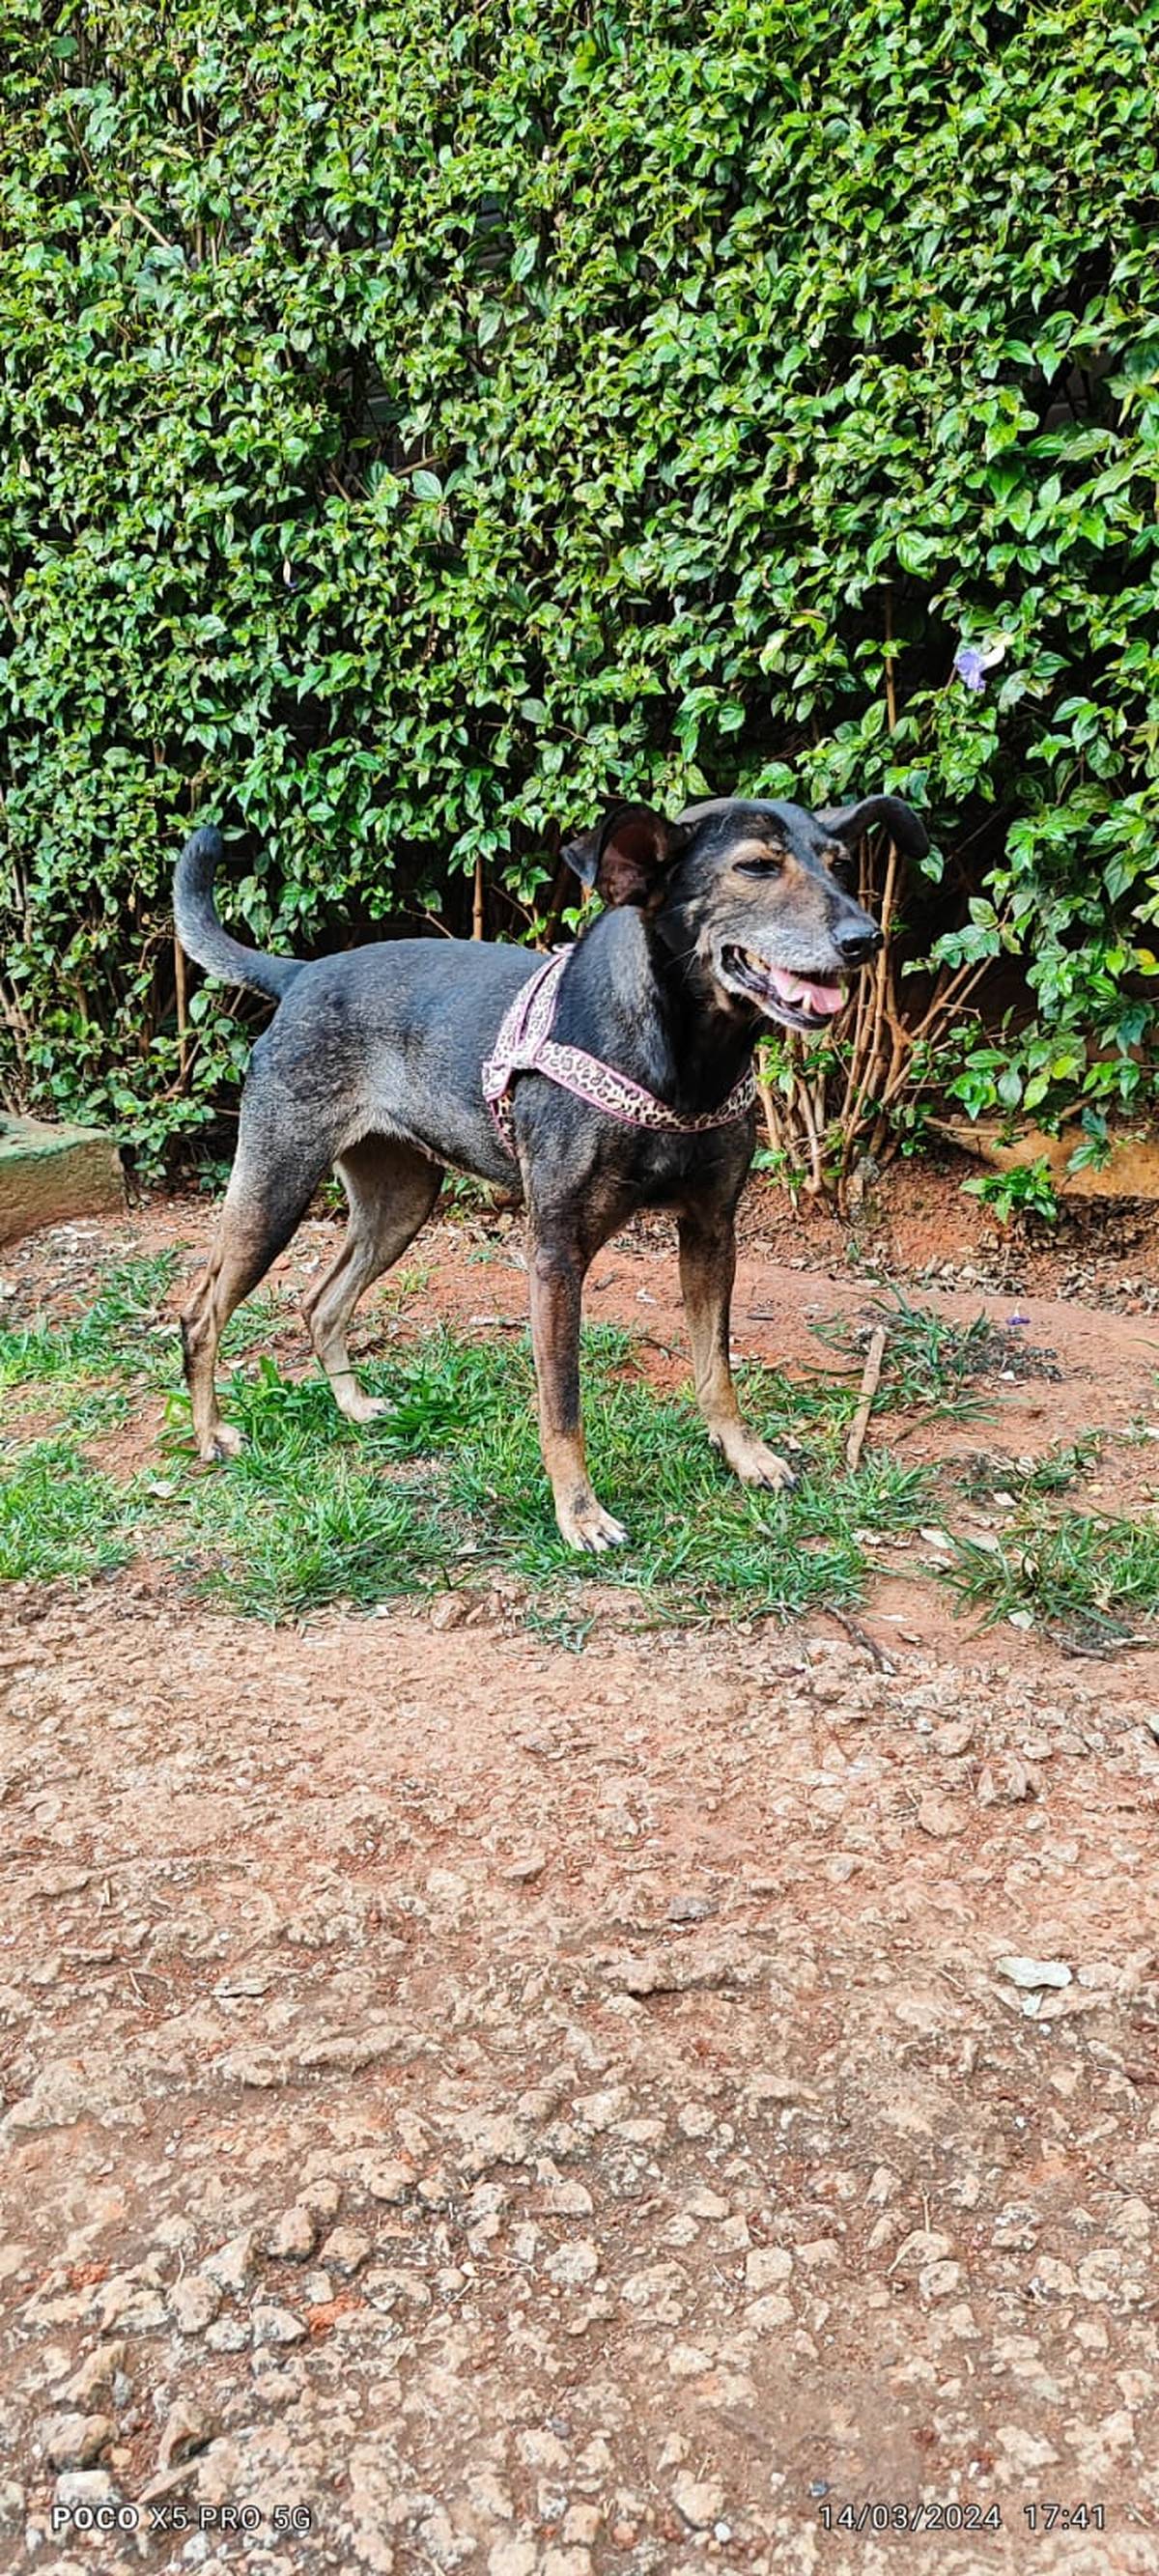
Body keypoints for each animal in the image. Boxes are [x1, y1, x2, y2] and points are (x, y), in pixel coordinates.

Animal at [174, 792, 927, 1549]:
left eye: (841, 865)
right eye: (756, 867)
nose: (865, 939)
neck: (683, 1056)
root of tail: (300, 974)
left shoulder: (713, 1229)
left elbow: (716, 1365)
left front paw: (744, 1454)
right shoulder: (557, 1254)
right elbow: (562, 1401)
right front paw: (580, 1512)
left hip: (401, 1201)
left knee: (321, 1300)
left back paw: (353, 1405)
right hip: (276, 1184)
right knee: (201, 1312)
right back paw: (211, 1434)